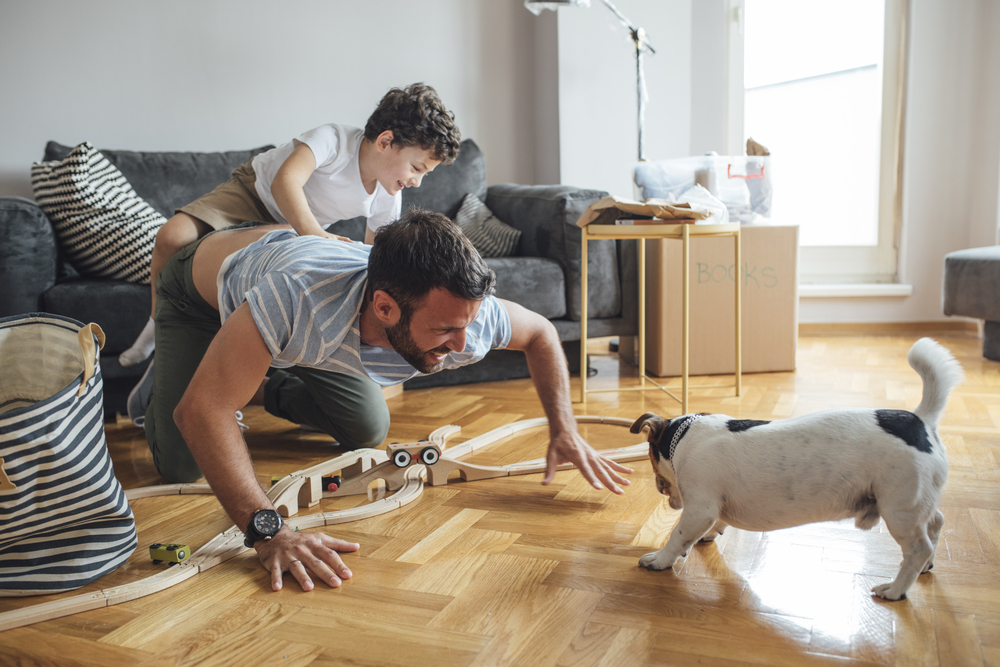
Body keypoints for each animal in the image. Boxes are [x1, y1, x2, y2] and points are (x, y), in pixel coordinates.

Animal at [628, 336, 964, 604]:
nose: (663, 491)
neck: (684, 437)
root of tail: (921, 420)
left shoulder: (699, 507)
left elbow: (677, 535)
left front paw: (660, 559)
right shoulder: (712, 508)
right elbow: (714, 524)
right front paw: (709, 535)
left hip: (899, 509)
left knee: (918, 547)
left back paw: (895, 589)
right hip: (915, 503)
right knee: (936, 522)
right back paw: (927, 565)